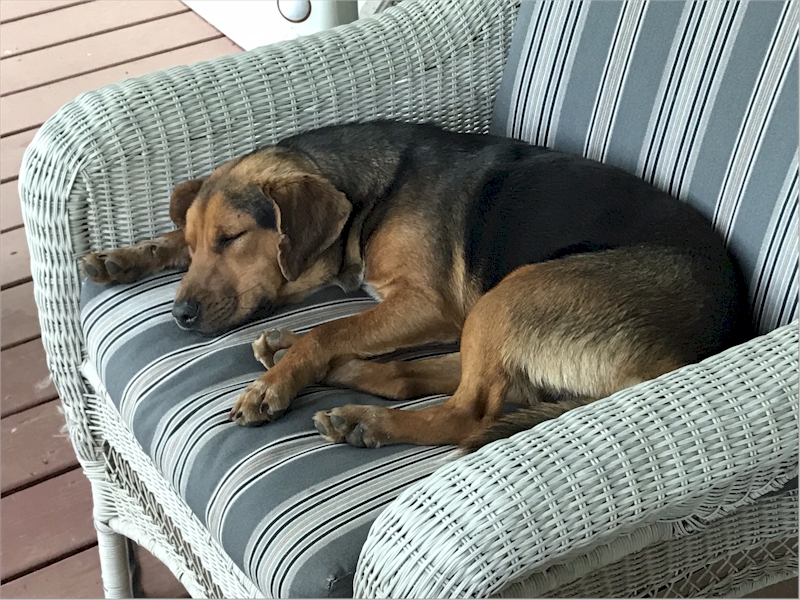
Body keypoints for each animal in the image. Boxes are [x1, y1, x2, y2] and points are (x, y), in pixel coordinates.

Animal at [81, 120, 752, 450]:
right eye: (199, 244)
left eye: (232, 238)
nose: (181, 317)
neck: (367, 193)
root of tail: (689, 354)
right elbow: (335, 326)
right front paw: (126, 257)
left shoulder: (429, 304)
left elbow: (327, 329)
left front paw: (275, 384)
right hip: (499, 315)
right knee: (431, 379)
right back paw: (343, 375)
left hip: (509, 295)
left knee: (467, 411)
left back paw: (365, 420)